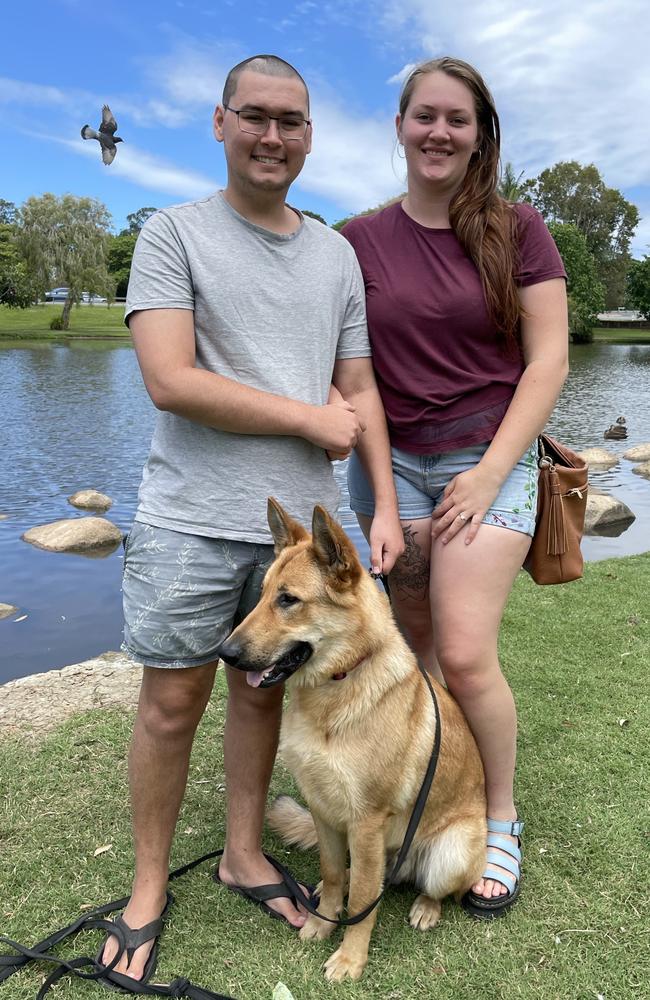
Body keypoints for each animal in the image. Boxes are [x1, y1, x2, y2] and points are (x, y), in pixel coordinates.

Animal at [219, 496, 486, 980]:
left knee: (439, 889)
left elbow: (363, 897)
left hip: (451, 853)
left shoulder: (365, 823)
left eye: (288, 600)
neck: (338, 684)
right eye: (262, 594)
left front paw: (350, 957)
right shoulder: (324, 809)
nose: (224, 653)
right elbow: (332, 874)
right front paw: (323, 924)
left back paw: (426, 907)